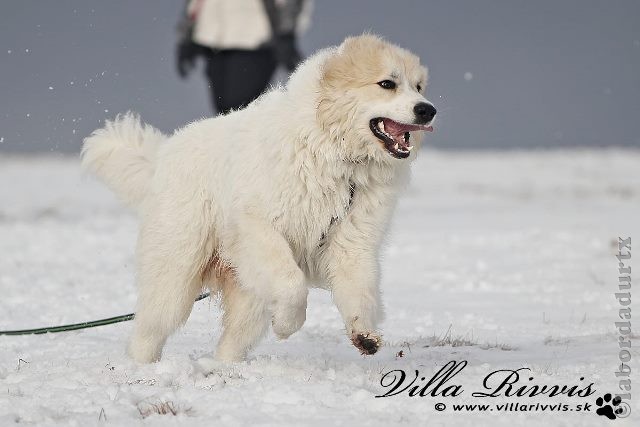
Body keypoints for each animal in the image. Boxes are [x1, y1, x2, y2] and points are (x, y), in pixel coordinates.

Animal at [82, 35, 436, 362]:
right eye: (387, 83)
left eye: (419, 87)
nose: (427, 109)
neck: (340, 158)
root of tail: (162, 156)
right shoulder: (256, 227)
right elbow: (293, 284)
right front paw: (287, 325)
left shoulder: (353, 241)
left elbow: (361, 292)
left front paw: (365, 335)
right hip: (176, 275)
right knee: (150, 329)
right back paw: (141, 367)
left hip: (246, 291)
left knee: (231, 343)